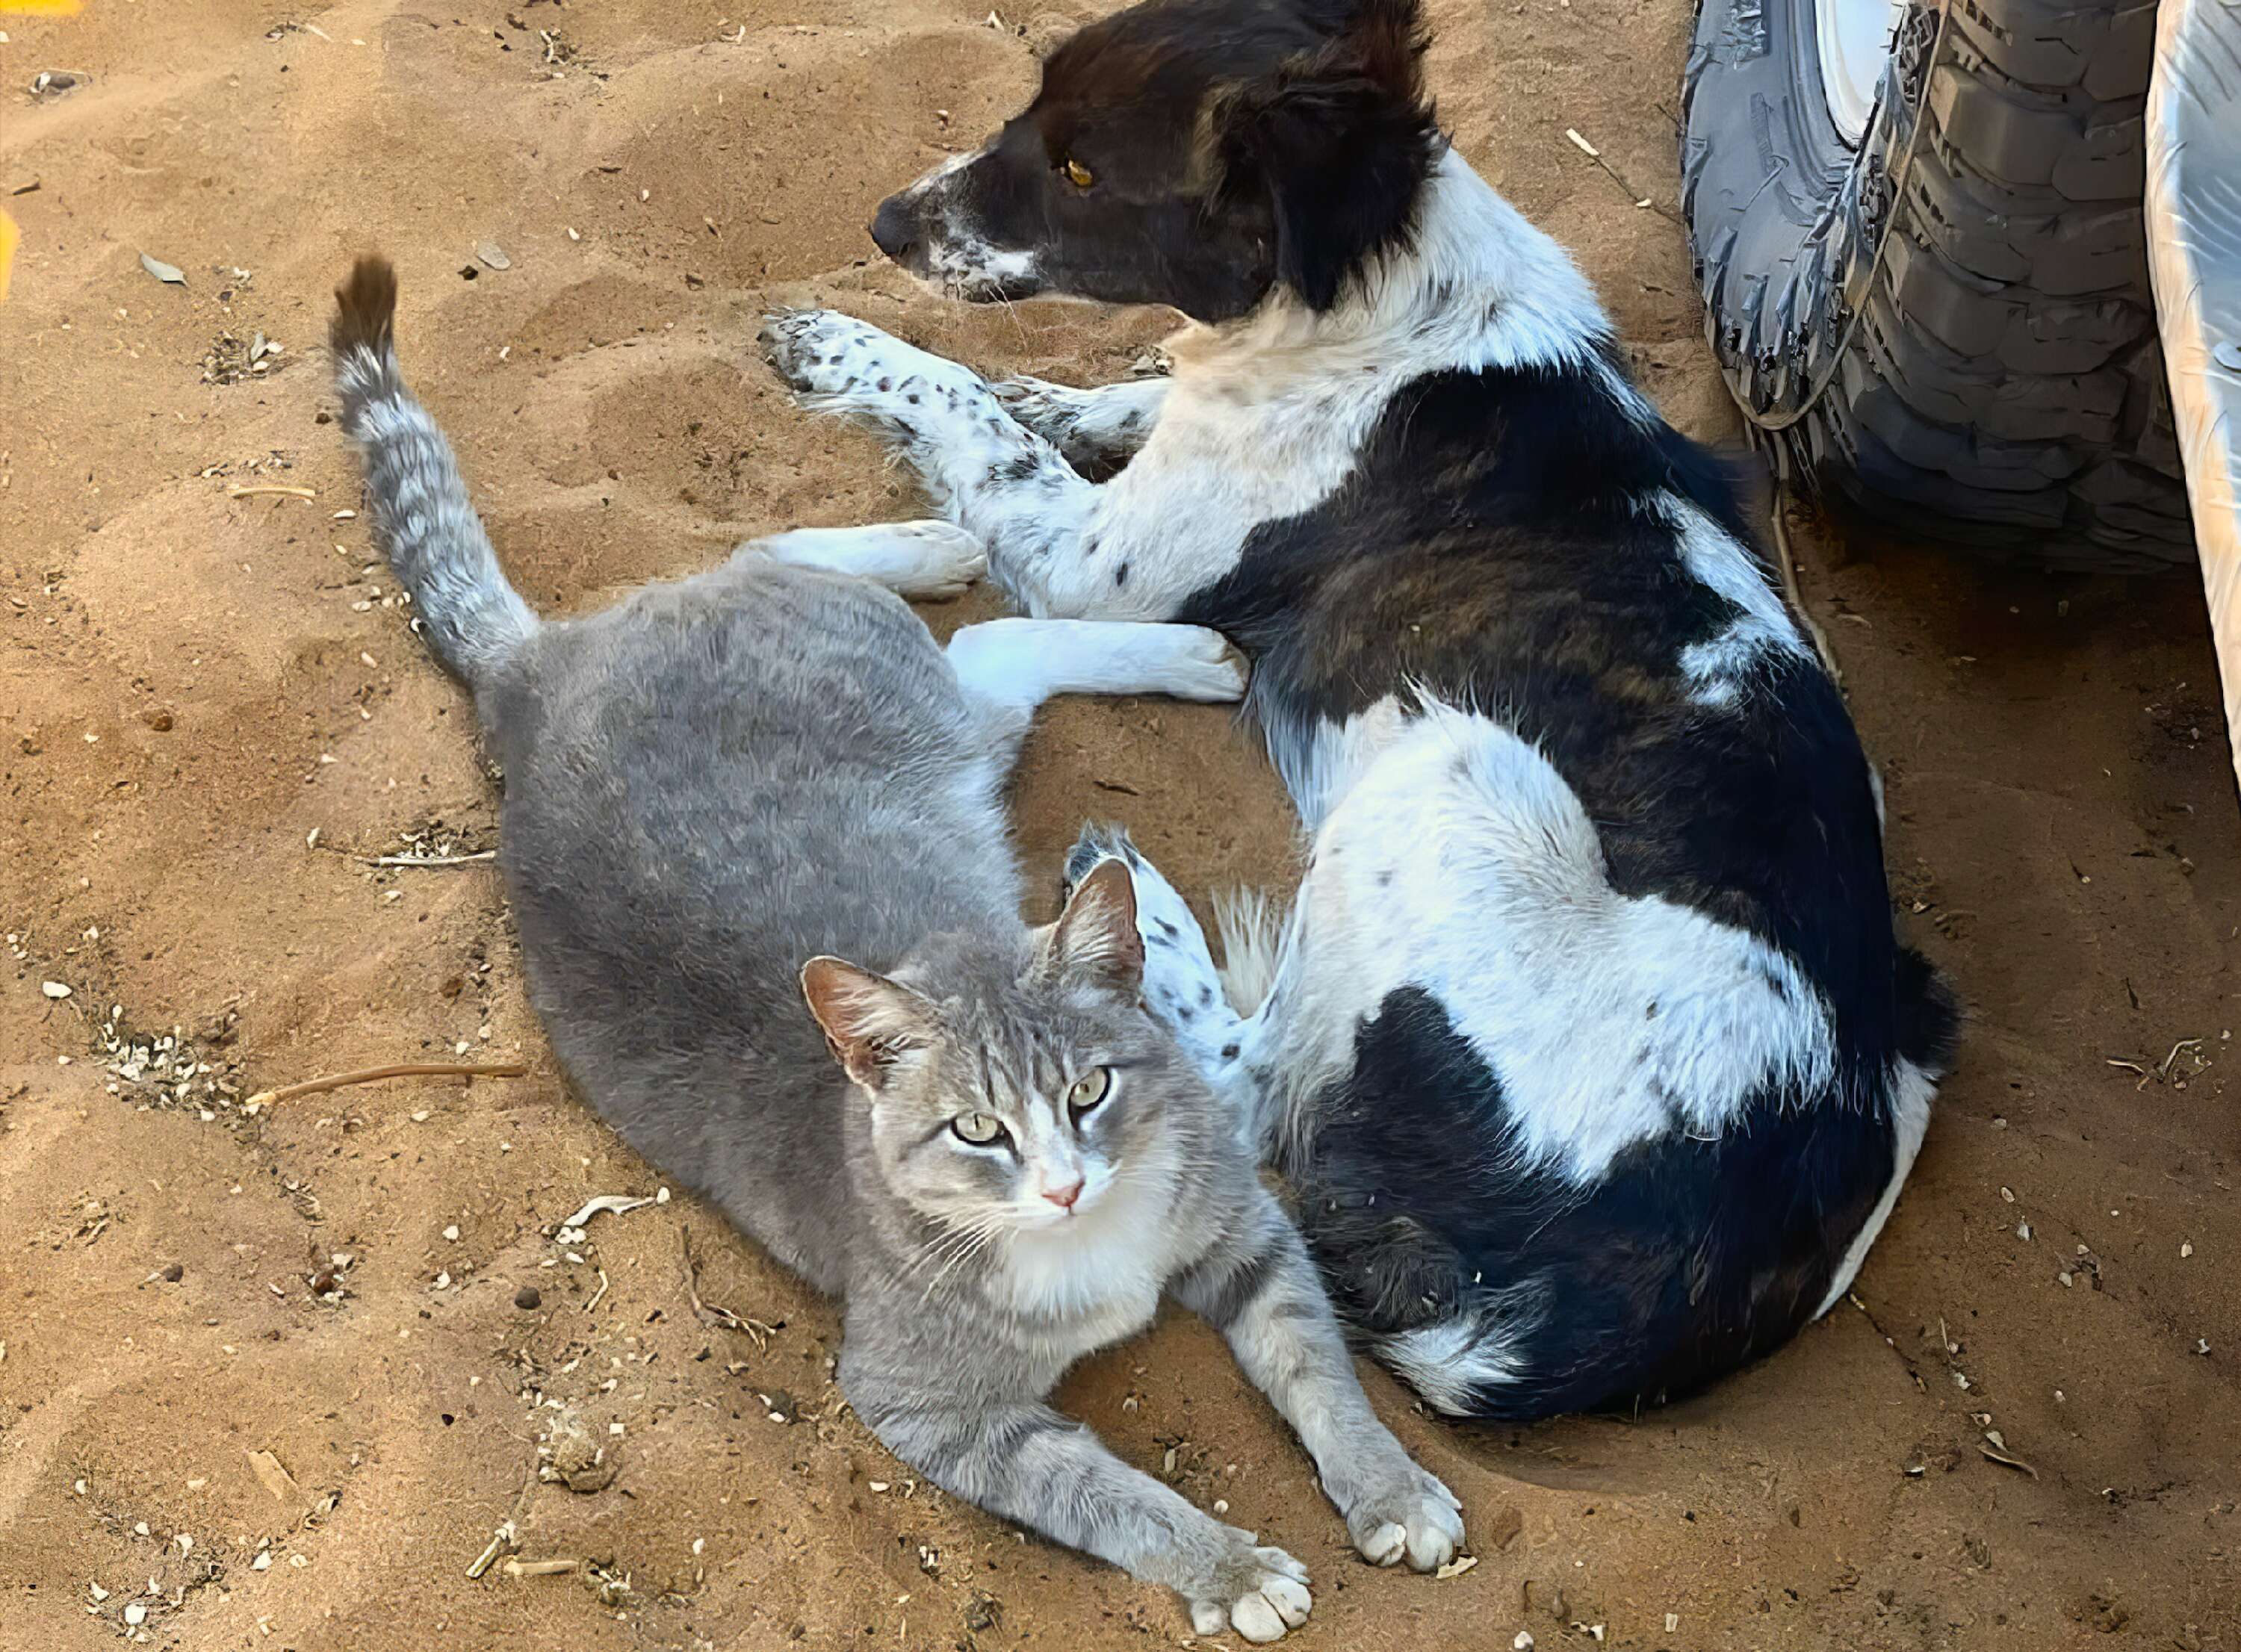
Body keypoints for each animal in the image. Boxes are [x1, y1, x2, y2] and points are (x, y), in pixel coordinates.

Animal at [327, 254, 1452, 1640]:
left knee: (859, 587)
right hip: (927, 709)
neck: (1085, 1247)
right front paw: (1231, 1567)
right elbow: (1112, 1495)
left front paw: (1388, 1488)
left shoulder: (1248, 1230)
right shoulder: (937, 1412)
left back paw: (1006, 575)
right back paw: (1024, 581)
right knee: (967, 636)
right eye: (976, 1129)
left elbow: (1318, 1366)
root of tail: (531, 679)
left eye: (1092, 1090)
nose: (1064, 1183)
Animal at [762, 0, 1954, 1416]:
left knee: (1249, 1079)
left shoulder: (1092, 564)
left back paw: (1137, 909)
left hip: (1456, 771)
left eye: (1082, 172)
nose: (888, 221)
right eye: (1027, 108)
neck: (1389, 302)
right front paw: (1070, 395)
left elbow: (964, 404)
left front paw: (844, 344)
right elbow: (1086, 400)